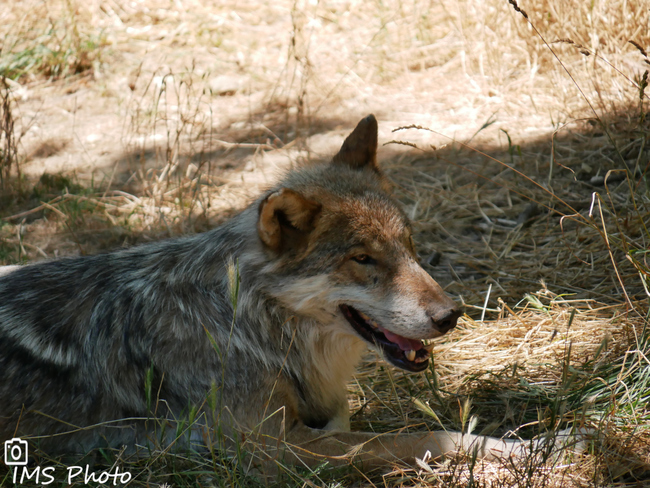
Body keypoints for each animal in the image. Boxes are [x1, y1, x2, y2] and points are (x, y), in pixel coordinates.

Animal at [0, 116, 576, 470]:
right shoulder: (266, 446)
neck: (250, 325)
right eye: (363, 259)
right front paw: (536, 447)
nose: (450, 316)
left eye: (410, 247)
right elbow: (426, 436)